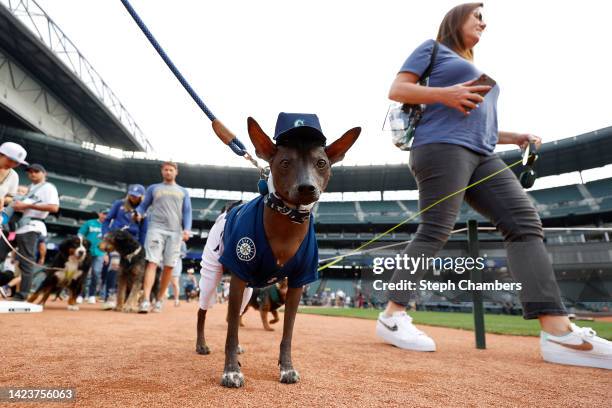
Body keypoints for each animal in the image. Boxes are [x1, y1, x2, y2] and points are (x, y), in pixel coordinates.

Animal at [195, 113, 358, 388]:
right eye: (284, 162)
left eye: (321, 163)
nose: (307, 187)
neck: (287, 220)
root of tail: (228, 208)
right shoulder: (237, 276)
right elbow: (230, 333)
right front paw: (231, 371)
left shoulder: (297, 284)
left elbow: (287, 332)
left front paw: (287, 367)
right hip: (213, 277)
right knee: (203, 311)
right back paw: (202, 344)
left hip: (248, 291)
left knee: (232, 317)